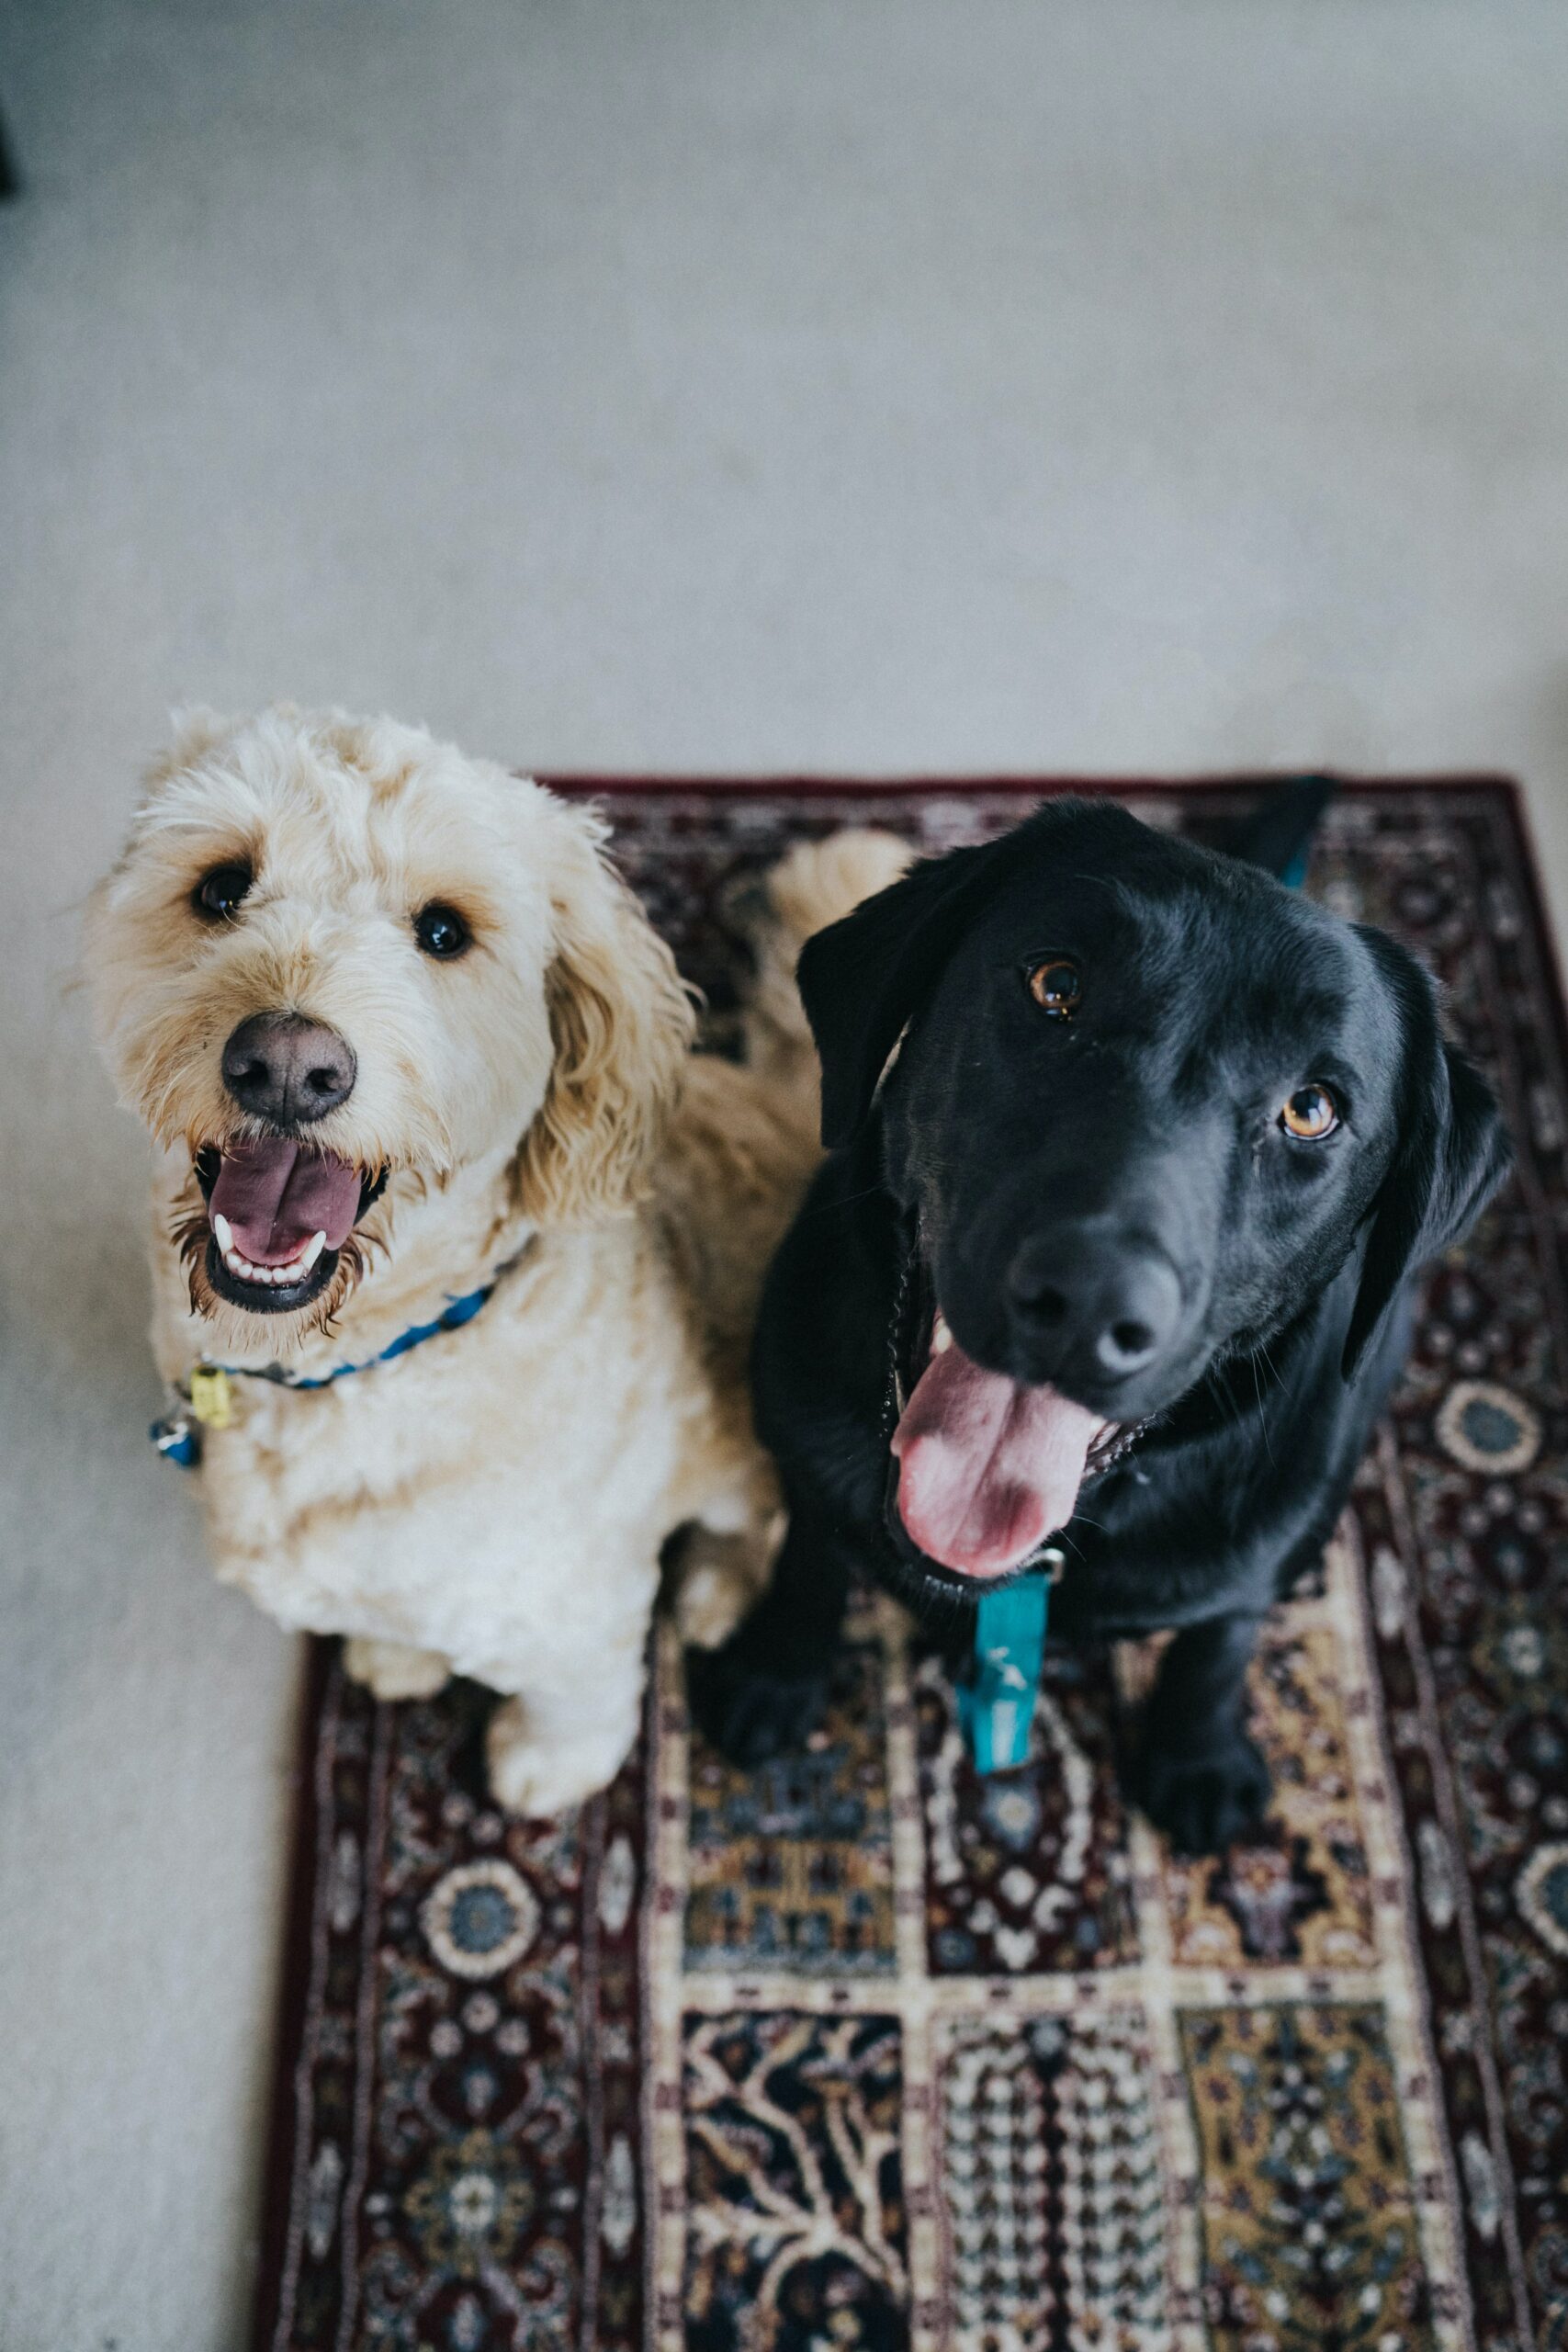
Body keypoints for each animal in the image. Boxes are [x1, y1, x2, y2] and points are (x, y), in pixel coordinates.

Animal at [691, 790, 1514, 1853]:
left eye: (1312, 1109)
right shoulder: (802, 1433)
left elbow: (1219, 1638)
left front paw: (1197, 1754)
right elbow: (808, 1553)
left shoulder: (1254, 1548)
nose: (1088, 1302)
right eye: (1056, 985)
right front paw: (775, 1667)